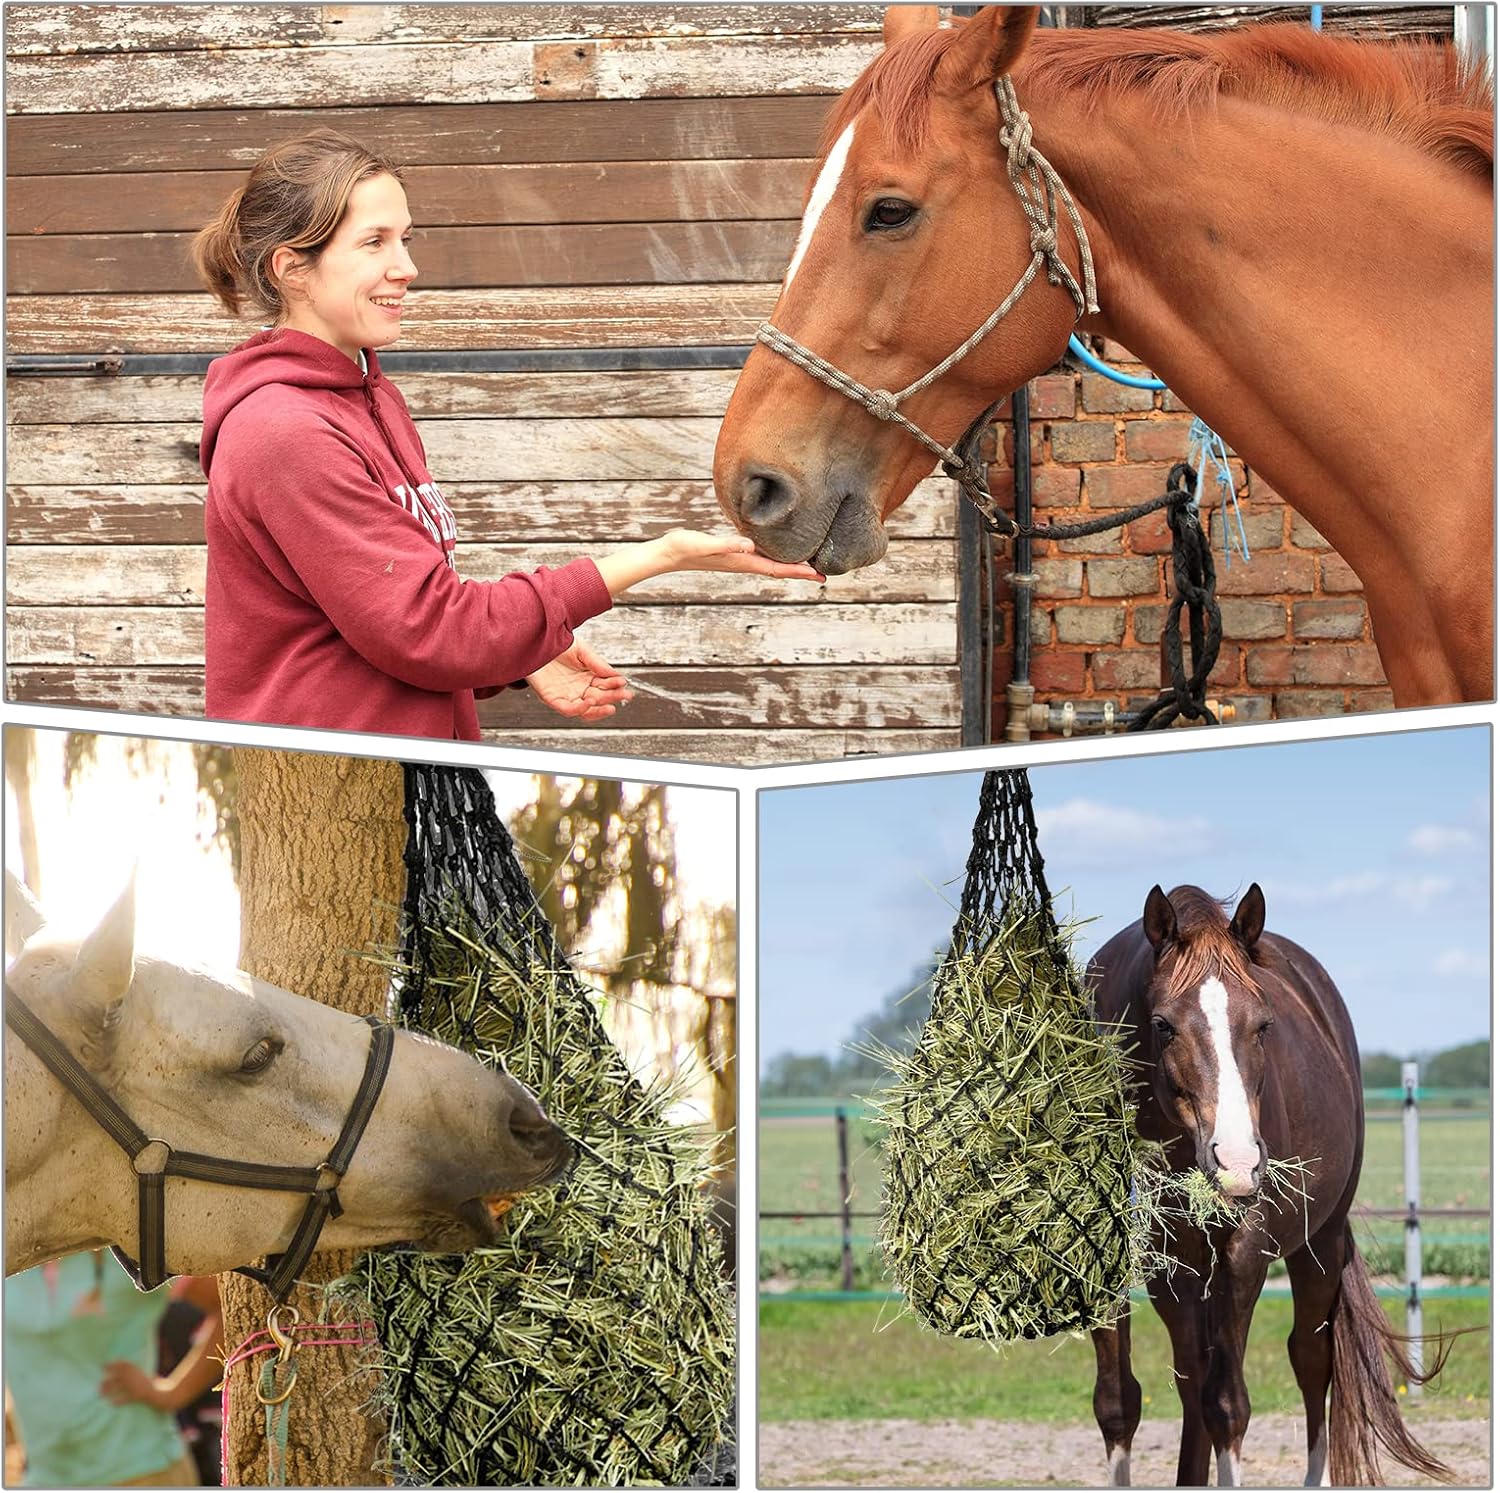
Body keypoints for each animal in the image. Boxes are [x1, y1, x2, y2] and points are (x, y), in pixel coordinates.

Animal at [1085, 883, 1449, 1487]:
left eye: (1263, 1025)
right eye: (1162, 1024)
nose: (1236, 1163)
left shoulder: (1245, 1255)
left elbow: (1228, 1406)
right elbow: (1118, 1404)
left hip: (1317, 1246)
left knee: (1309, 1360)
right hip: (1182, 1278)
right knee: (1192, 1375)